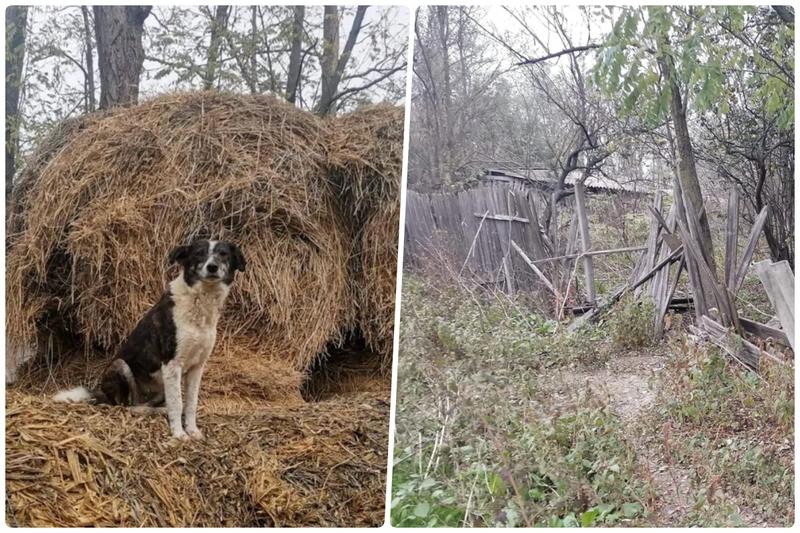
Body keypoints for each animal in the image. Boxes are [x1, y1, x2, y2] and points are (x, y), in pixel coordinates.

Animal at [52, 239, 244, 438]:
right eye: (199, 253)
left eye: (223, 254)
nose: (212, 267)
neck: (200, 300)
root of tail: (101, 392)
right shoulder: (172, 363)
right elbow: (177, 403)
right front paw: (179, 433)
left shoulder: (197, 367)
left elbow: (191, 403)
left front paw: (192, 430)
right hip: (121, 365)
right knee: (131, 406)